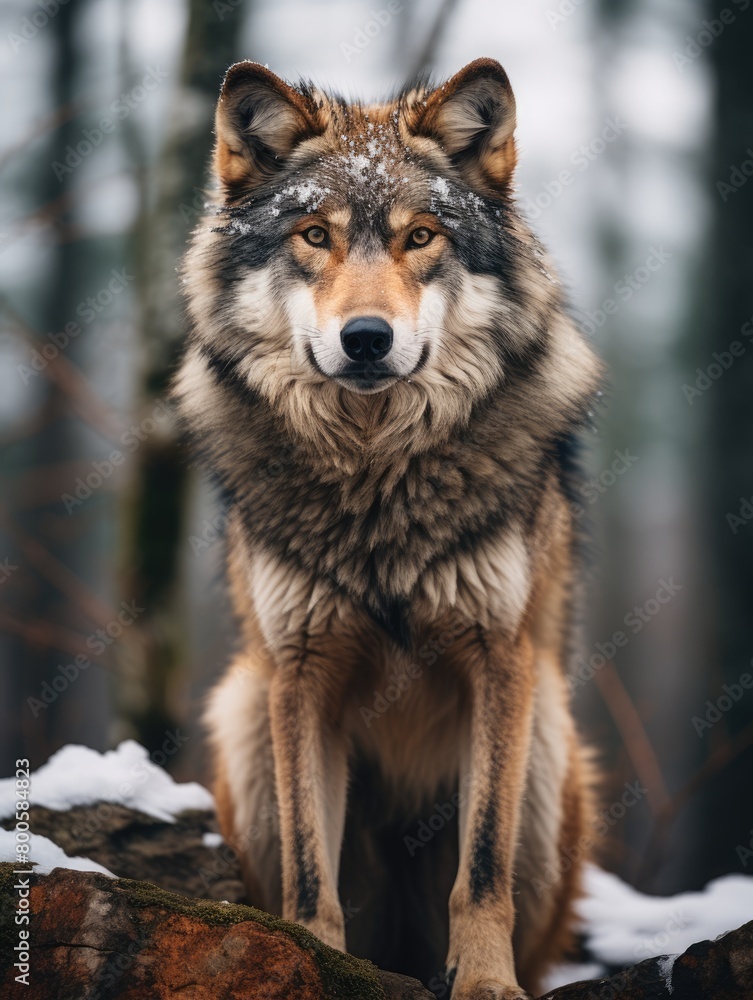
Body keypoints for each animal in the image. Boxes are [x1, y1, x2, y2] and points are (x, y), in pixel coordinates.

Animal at [174, 58, 603, 999]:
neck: (377, 476)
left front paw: (485, 983)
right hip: (244, 712)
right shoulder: (299, 672)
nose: (365, 339)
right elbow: (309, 873)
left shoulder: (499, 661)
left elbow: (480, 869)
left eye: (419, 238)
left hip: (547, 743)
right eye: (313, 236)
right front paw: (316, 963)